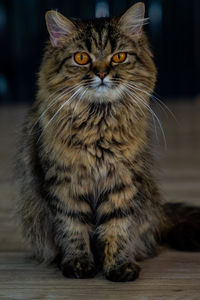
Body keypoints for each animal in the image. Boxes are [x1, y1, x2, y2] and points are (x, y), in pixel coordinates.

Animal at [16, 2, 200, 282]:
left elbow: (117, 228)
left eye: (119, 57)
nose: (102, 73)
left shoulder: (122, 182)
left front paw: (118, 266)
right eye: (82, 58)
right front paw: (78, 263)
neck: (98, 126)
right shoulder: (65, 184)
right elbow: (73, 228)